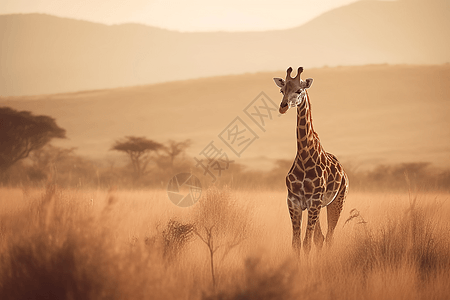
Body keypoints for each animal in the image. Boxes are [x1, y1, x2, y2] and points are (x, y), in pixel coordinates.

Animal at [272, 67, 350, 253]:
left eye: (299, 90)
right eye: (282, 90)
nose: (283, 107)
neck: (304, 156)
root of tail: (344, 173)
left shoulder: (314, 201)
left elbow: (306, 243)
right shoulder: (294, 201)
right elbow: (296, 243)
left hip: (337, 202)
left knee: (329, 237)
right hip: (319, 206)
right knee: (320, 238)